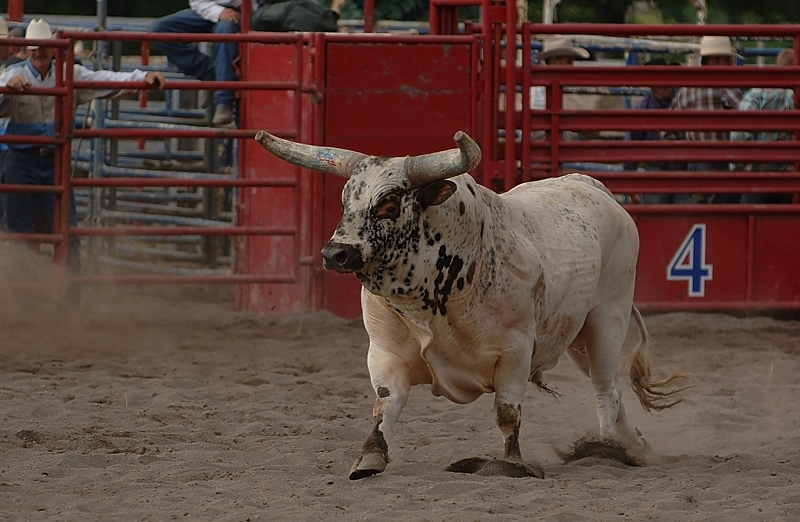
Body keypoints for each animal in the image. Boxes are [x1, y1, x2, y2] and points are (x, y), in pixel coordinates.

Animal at [255, 130, 680, 480]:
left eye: (389, 205)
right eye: (346, 201)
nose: (335, 253)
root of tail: (595, 188)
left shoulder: (515, 352)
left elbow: (507, 413)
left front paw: (510, 465)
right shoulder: (385, 352)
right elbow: (385, 405)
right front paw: (369, 458)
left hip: (607, 318)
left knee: (605, 389)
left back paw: (606, 449)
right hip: (575, 336)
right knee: (612, 389)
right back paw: (632, 444)